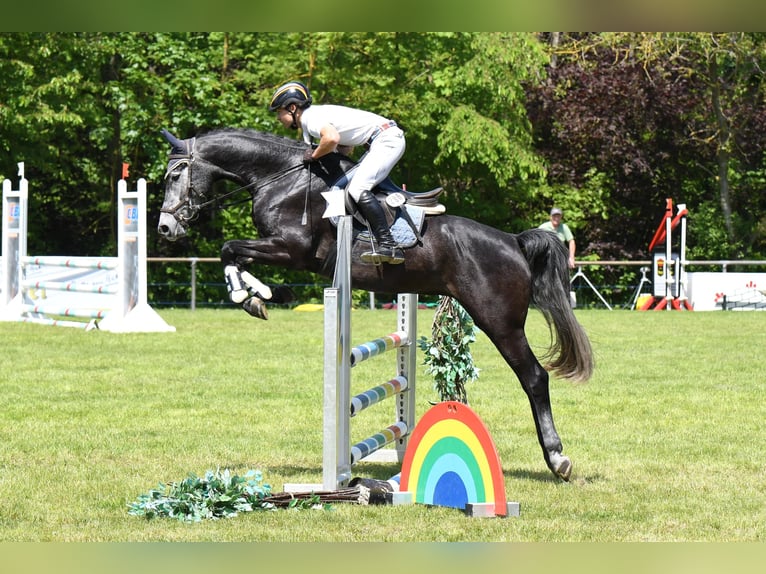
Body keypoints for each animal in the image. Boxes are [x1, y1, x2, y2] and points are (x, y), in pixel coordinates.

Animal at [159, 128, 596, 484]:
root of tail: (513, 241)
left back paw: (558, 459)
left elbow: (228, 248)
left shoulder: (290, 248)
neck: (283, 179)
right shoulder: (282, 251)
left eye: (175, 175)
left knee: (534, 377)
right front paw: (260, 295)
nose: (166, 228)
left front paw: (250, 296)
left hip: (500, 321)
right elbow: (233, 254)